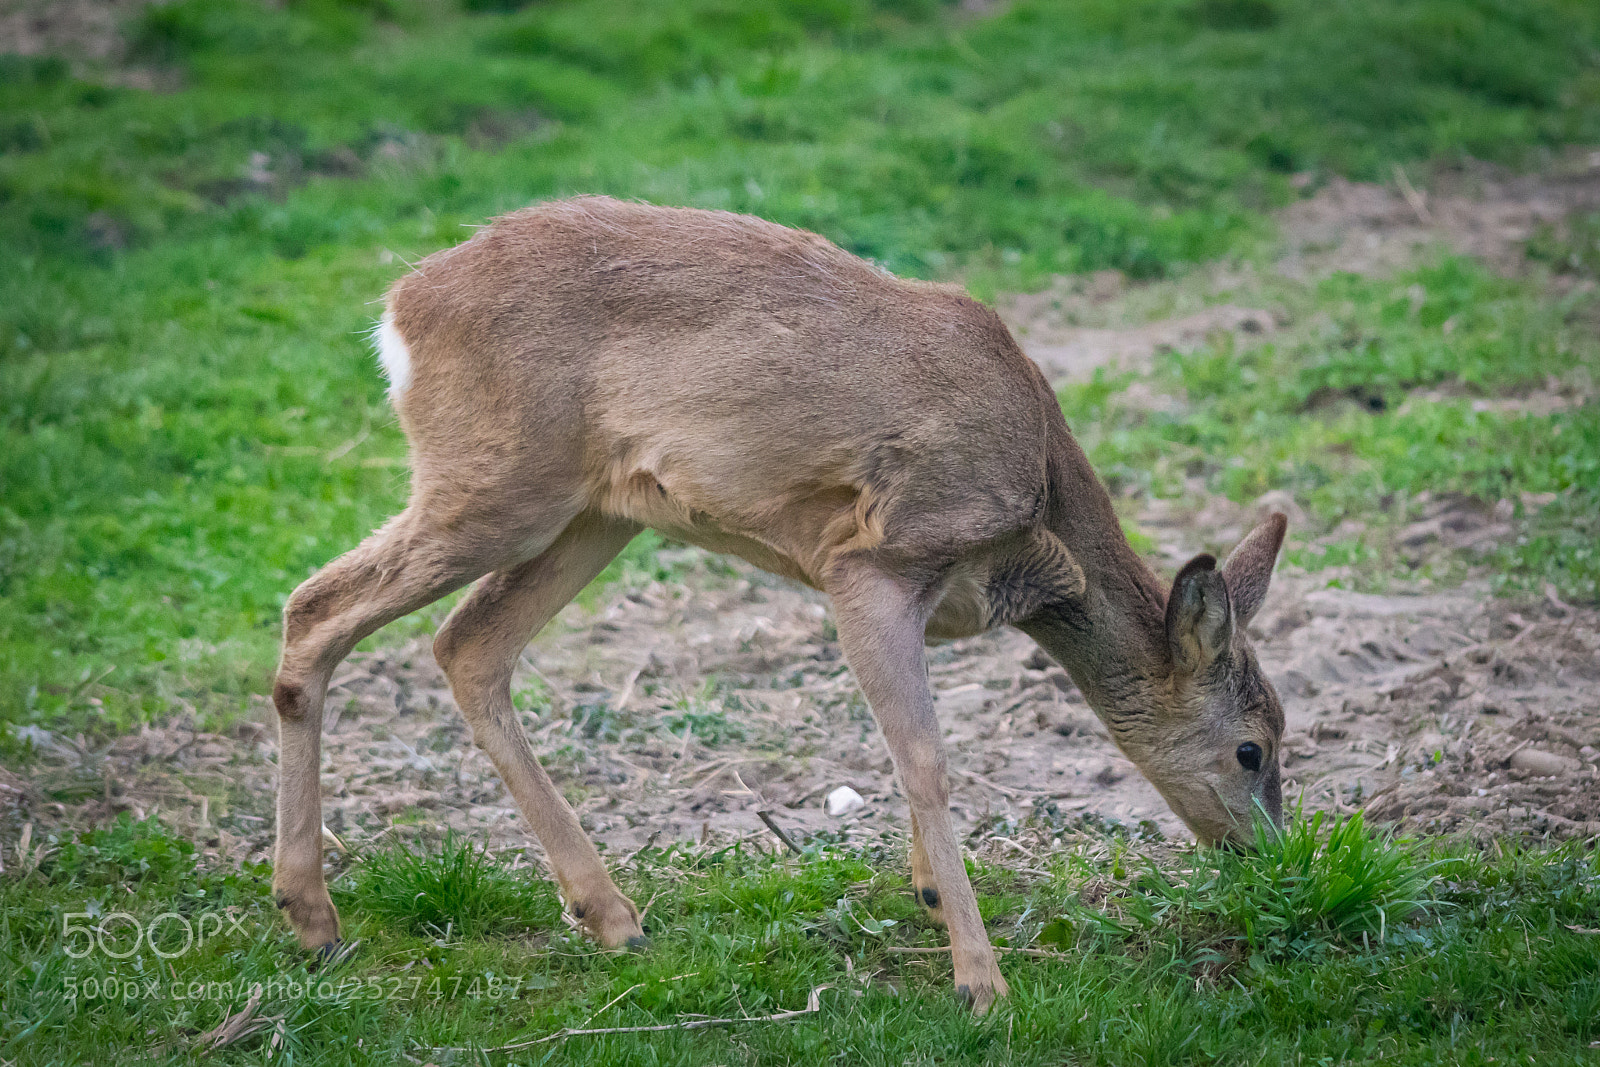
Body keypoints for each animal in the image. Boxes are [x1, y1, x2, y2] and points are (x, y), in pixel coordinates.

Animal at [270, 195, 1287, 1013]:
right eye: (1252, 748)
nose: (1273, 858)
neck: (1039, 525)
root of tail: (400, 307)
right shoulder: (872, 559)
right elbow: (926, 759)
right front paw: (981, 980)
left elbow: (912, 754)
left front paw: (929, 896)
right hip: (495, 480)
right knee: (314, 607)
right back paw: (311, 916)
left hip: (594, 511)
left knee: (468, 644)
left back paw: (609, 915)